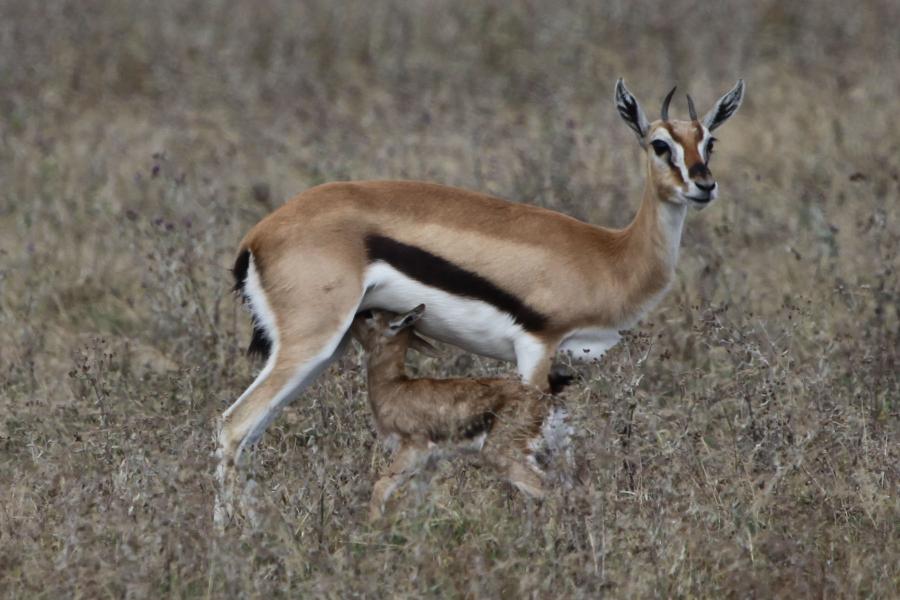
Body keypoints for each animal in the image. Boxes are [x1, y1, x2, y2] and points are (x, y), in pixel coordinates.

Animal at [351, 304, 572, 520]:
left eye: (370, 314)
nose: (353, 318)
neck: (393, 387)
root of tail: (547, 396)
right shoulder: (430, 462)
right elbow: (410, 502)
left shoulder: (413, 447)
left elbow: (381, 486)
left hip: (503, 453)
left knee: (548, 489)